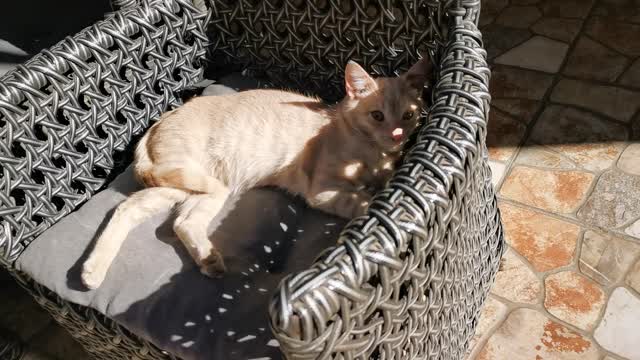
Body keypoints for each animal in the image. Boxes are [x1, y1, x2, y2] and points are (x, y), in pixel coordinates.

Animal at [80, 59, 430, 290]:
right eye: (377, 115)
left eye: (408, 115)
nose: (397, 136)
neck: (372, 153)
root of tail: (156, 124)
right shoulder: (322, 191)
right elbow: (364, 199)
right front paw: (378, 200)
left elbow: (382, 183)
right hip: (197, 178)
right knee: (155, 209)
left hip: (182, 189)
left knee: (161, 216)